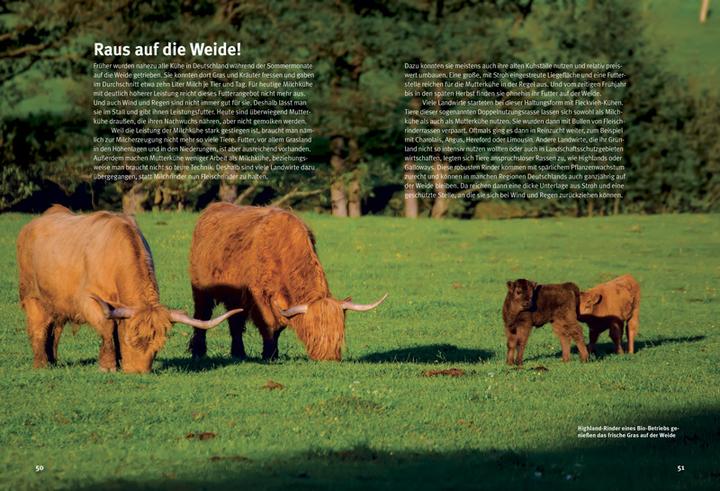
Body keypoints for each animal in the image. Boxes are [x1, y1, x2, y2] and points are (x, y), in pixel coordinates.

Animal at [16, 205, 241, 373]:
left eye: (157, 346)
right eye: (130, 340)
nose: (138, 372)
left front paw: (116, 362)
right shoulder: (88, 301)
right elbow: (108, 329)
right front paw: (107, 366)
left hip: (57, 302)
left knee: (55, 329)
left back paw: (53, 360)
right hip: (32, 296)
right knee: (39, 328)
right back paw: (41, 364)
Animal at [188, 203, 387, 361]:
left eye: (340, 334)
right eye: (313, 334)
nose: (329, 358)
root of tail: (212, 208)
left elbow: (279, 326)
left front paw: (272, 353)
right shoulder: (259, 296)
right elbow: (270, 324)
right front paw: (269, 355)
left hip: (234, 296)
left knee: (235, 322)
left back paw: (239, 353)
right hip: (201, 290)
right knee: (202, 316)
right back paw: (198, 351)